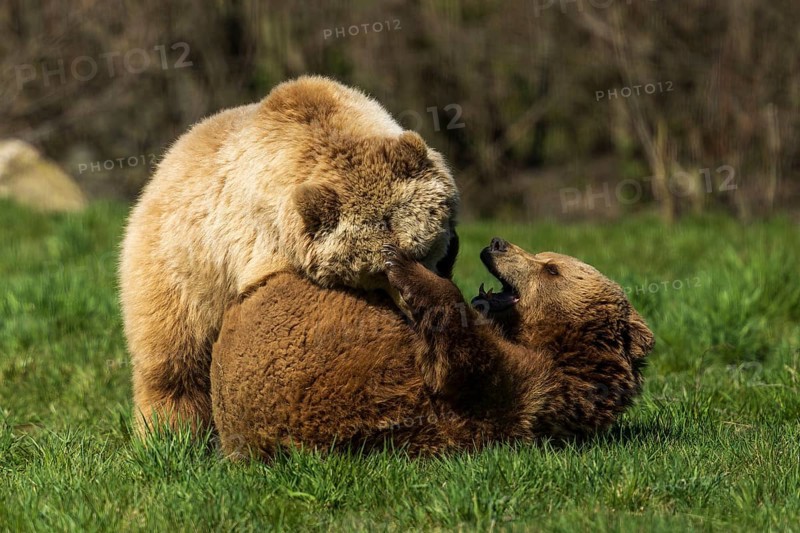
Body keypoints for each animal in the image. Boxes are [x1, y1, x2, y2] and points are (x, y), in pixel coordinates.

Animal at [119, 75, 460, 437]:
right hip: (177, 266)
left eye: (420, 250)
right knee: (171, 361)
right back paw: (167, 432)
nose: (410, 305)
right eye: (378, 272)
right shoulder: (260, 236)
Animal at [210, 237, 655, 459]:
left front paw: (404, 263)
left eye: (551, 268)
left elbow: (460, 361)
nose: (497, 243)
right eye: (545, 255)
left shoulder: (517, 392)